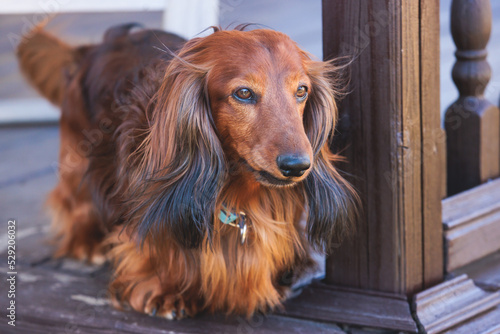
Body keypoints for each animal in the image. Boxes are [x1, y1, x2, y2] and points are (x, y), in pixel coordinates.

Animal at [17, 22, 358, 318]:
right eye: (243, 93)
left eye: (301, 91)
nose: (297, 166)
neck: (238, 194)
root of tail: (96, 46)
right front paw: (167, 290)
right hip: (78, 152)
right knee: (74, 200)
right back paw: (86, 243)